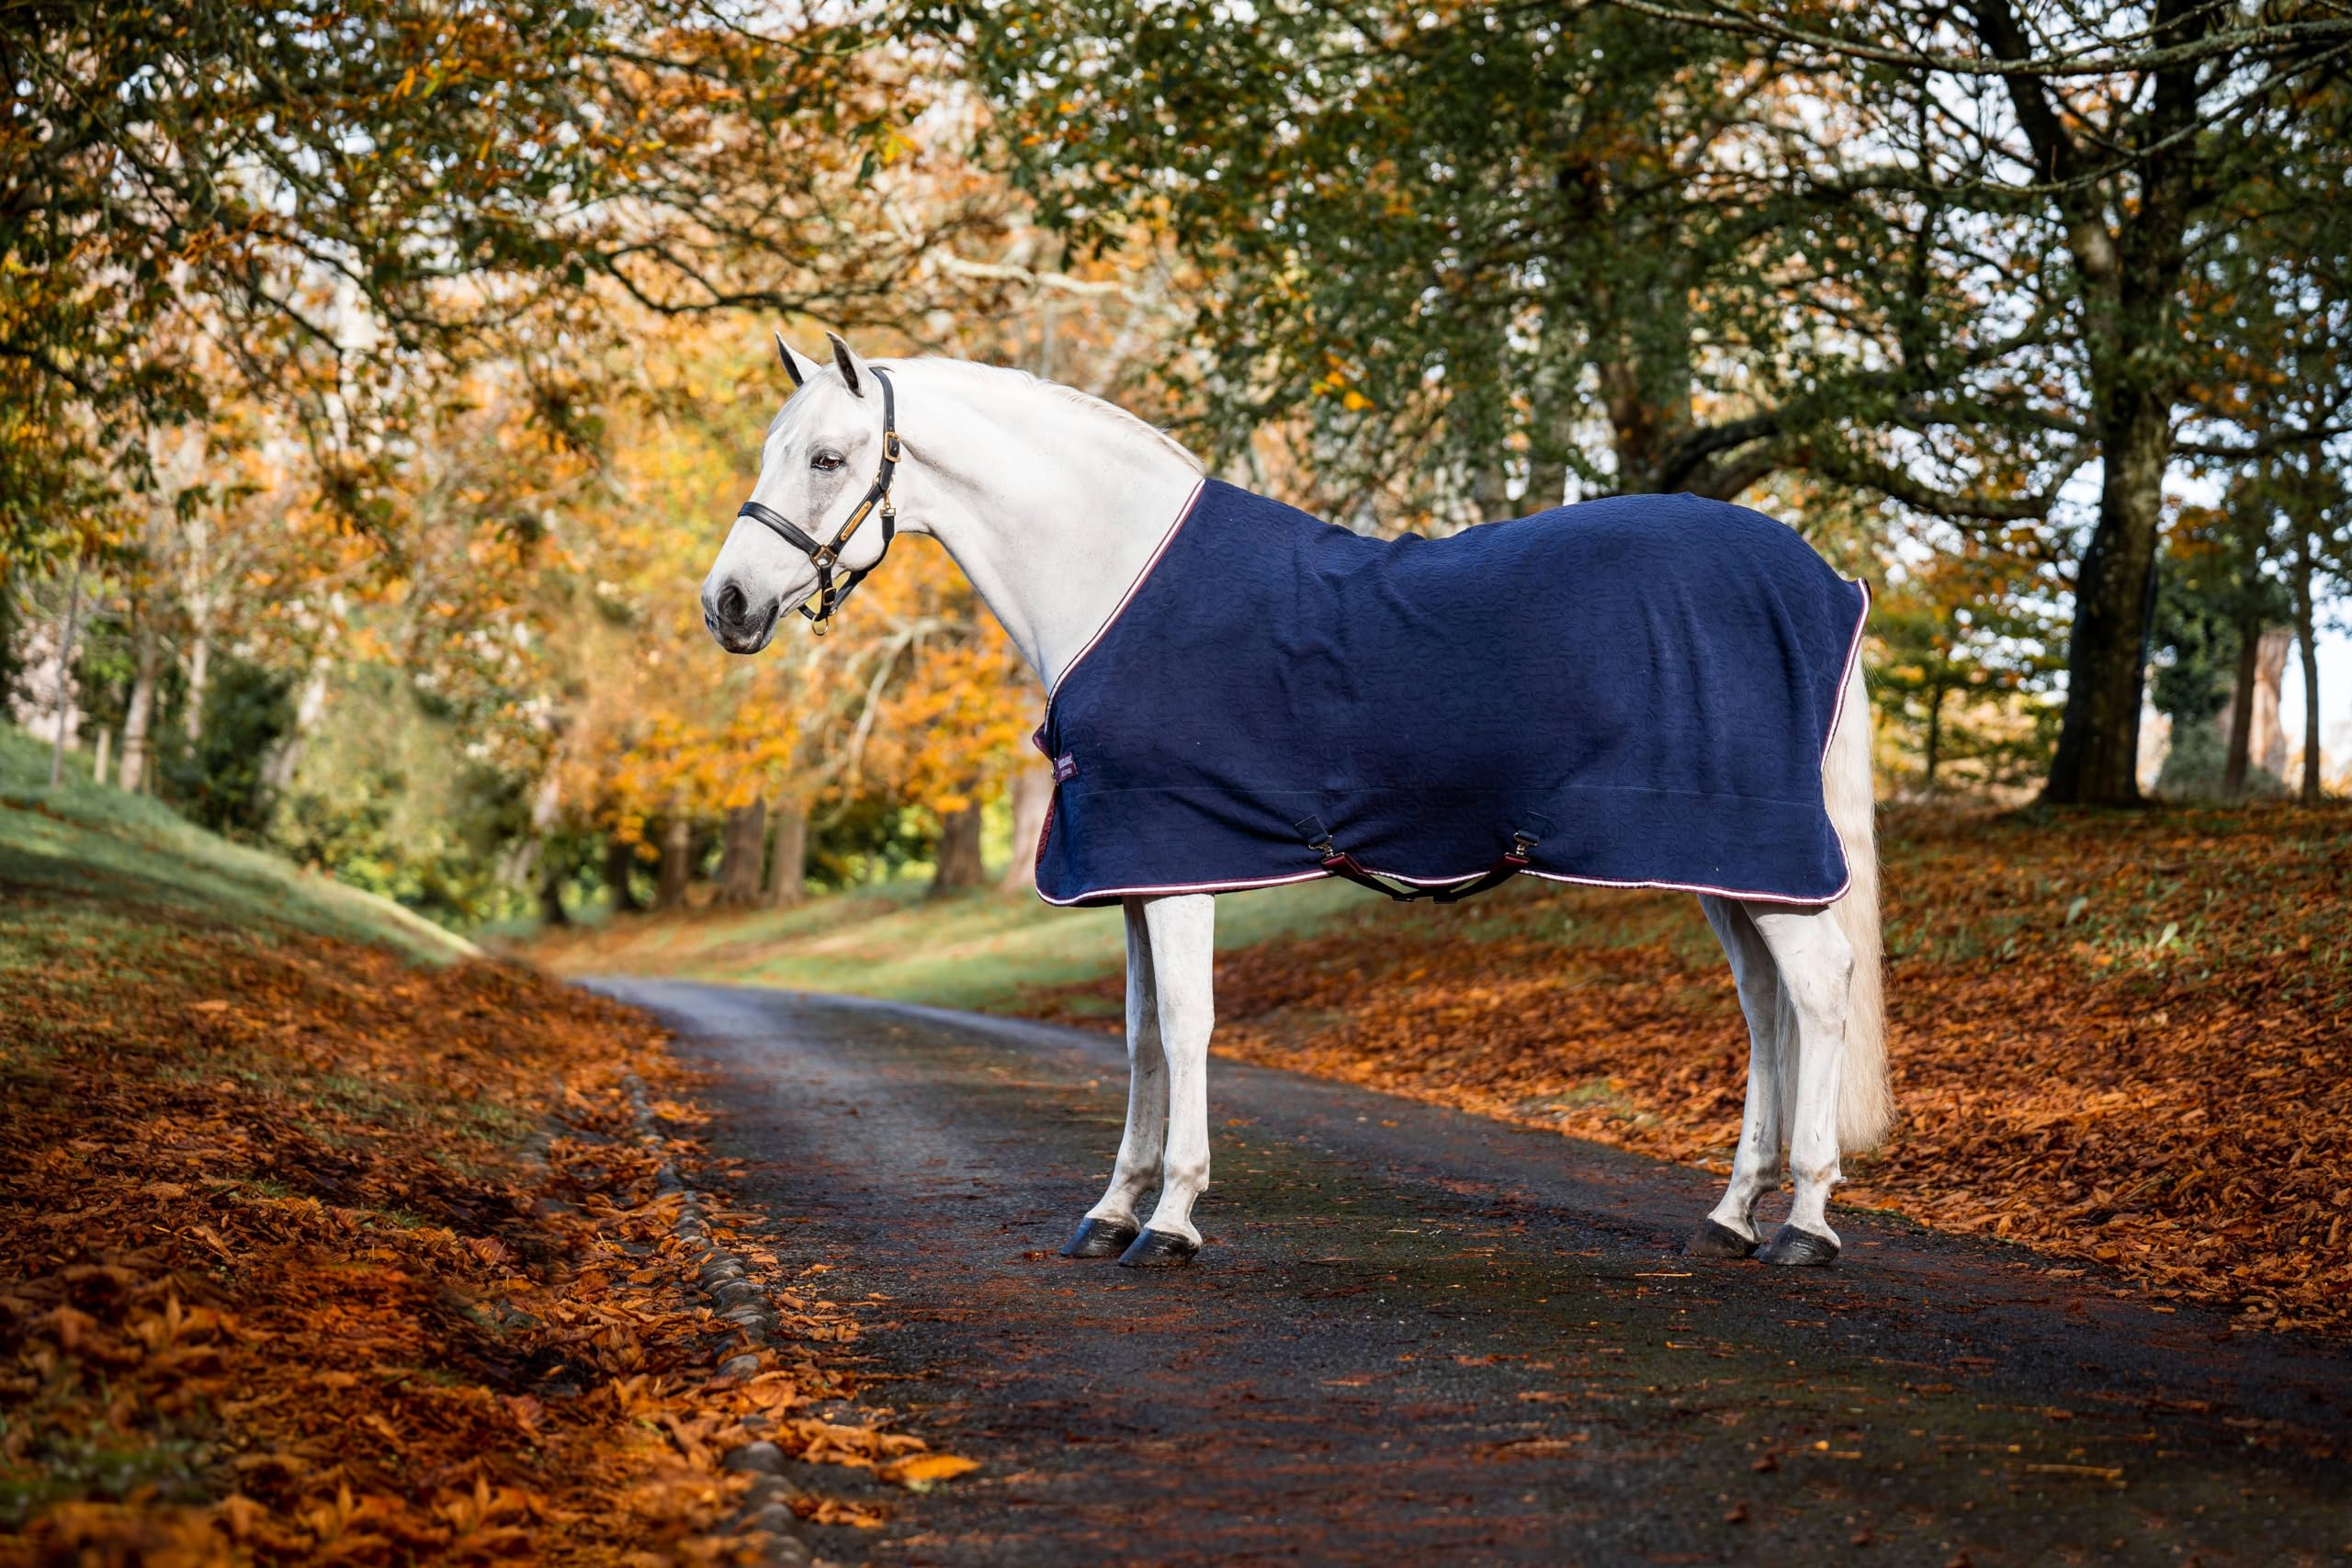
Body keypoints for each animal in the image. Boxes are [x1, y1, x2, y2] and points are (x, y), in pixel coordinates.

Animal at [699, 334, 1890, 1270]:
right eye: (773, 451)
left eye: (829, 458)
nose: (727, 604)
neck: (1114, 576)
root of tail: (1824, 582)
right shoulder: (1133, 868)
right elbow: (1138, 1034)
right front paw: (1111, 1208)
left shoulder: (1178, 861)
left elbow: (1184, 1027)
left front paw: (1170, 1220)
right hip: (1723, 866)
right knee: (1765, 1009)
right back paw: (1730, 1215)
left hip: (1759, 857)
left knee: (1817, 991)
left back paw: (1804, 1224)